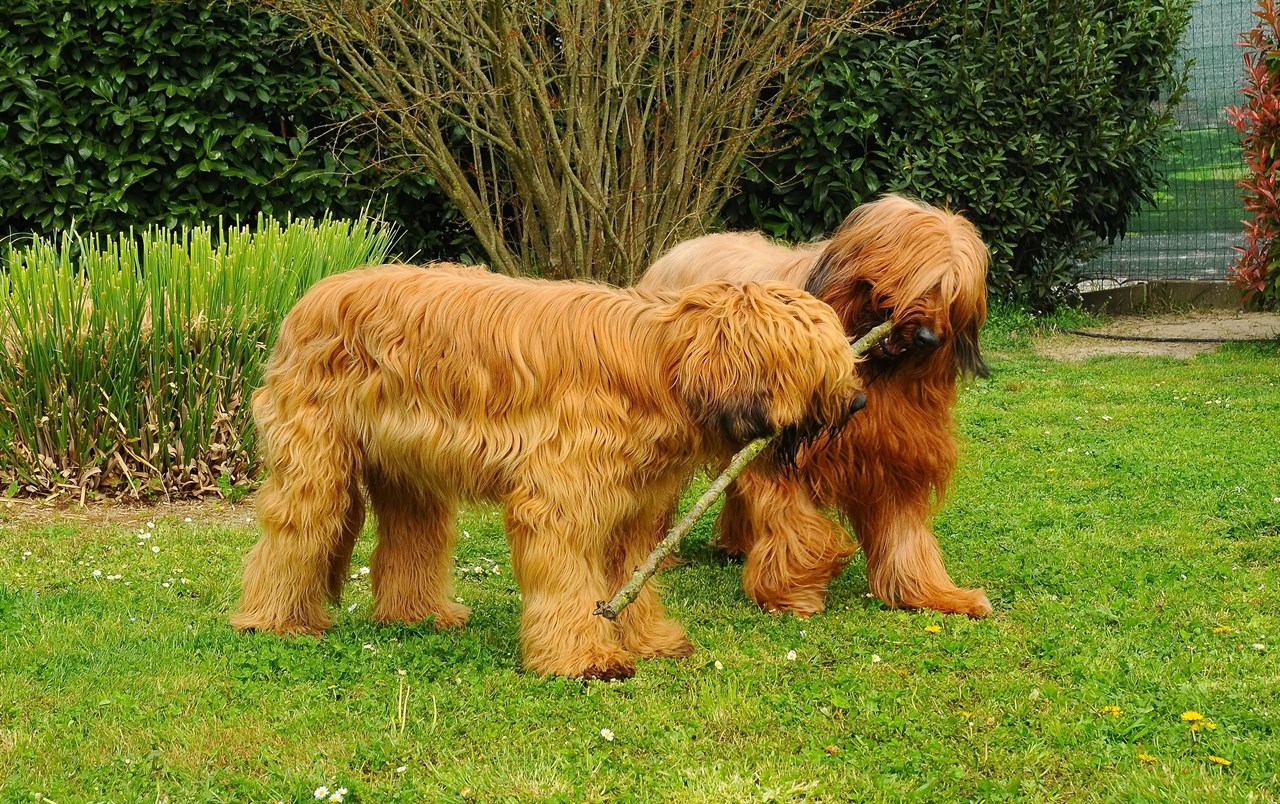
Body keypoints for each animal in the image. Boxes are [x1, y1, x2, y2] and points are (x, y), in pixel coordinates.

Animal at [234, 263, 865, 675]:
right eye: (821, 363)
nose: (858, 401)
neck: (662, 363)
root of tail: (311, 297)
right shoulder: (562, 497)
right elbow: (567, 576)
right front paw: (584, 658)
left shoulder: (635, 506)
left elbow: (629, 574)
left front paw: (649, 640)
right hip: (316, 458)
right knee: (296, 529)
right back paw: (274, 620)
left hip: (409, 469)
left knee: (413, 534)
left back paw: (418, 614)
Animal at [645, 195, 993, 622]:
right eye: (919, 280)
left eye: (953, 298)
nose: (928, 338)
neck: (871, 368)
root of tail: (681, 248)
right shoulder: (786, 451)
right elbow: (795, 522)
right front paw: (790, 593)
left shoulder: (894, 453)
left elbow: (905, 533)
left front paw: (934, 593)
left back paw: (737, 544)